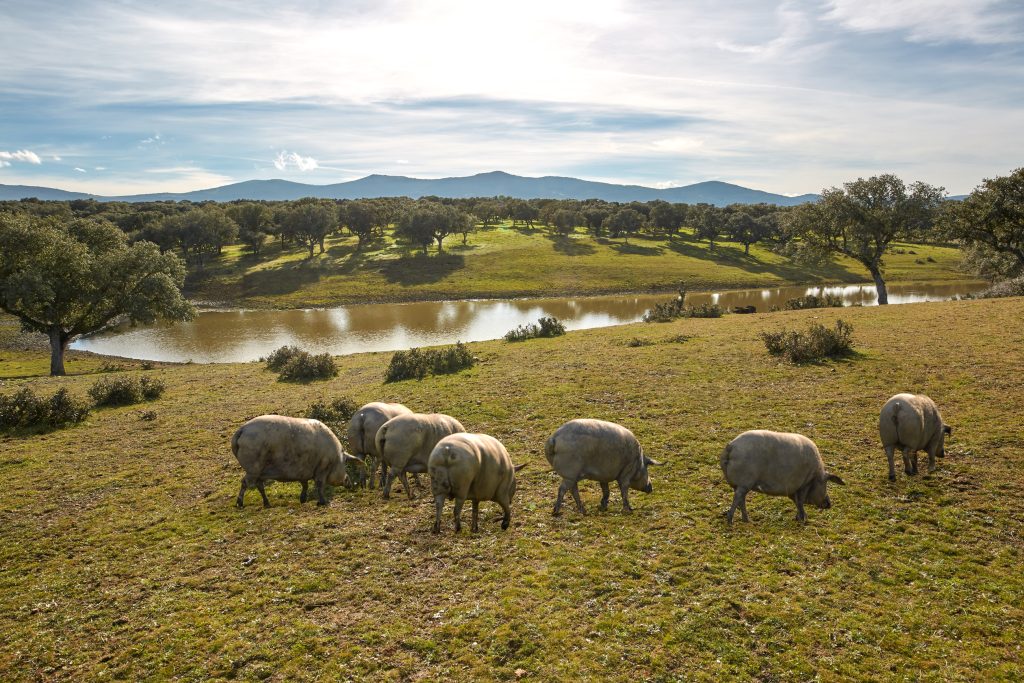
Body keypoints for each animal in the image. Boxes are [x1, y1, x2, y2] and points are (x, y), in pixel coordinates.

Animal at [231, 413, 360, 505]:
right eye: (345, 464)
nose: (350, 483)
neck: (336, 458)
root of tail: (242, 430)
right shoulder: (322, 466)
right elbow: (319, 484)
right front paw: (322, 503)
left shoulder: (303, 471)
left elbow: (305, 484)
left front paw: (302, 500)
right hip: (253, 467)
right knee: (245, 482)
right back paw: (239, 504)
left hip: (258, 471)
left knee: (259, 486)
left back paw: (267, 504)